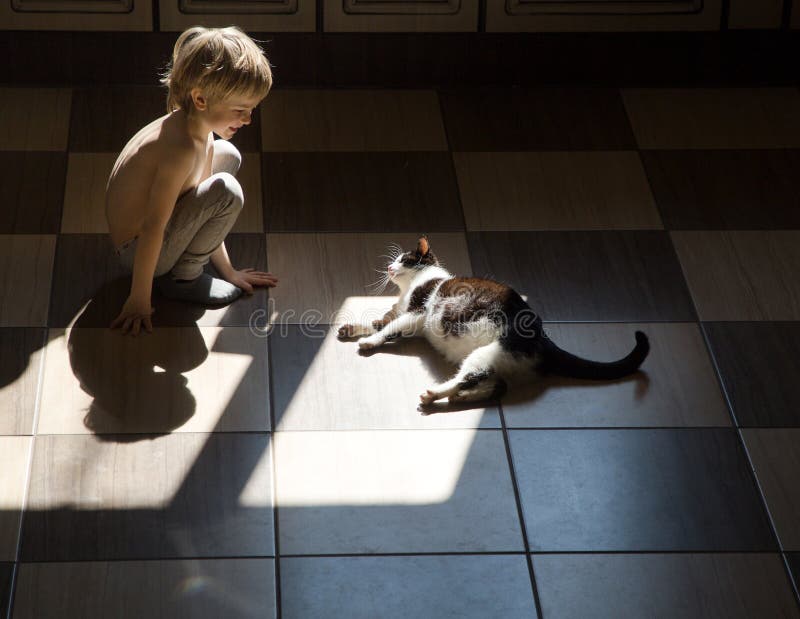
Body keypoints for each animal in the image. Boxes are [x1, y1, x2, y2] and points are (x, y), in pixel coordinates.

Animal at [338, 235, 648, 404]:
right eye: (396, 260)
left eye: (404, 259)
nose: (389, 267)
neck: (409, 290)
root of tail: (545, 339)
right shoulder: (404, 314)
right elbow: (381, 321)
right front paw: (350, 328)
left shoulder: (417, 313)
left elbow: (388, 328)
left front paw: (369, 342)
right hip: (503, 362)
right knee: (499, 386)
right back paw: (460, 398)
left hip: (490, 353)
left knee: (470, 377)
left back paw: (435, 394)